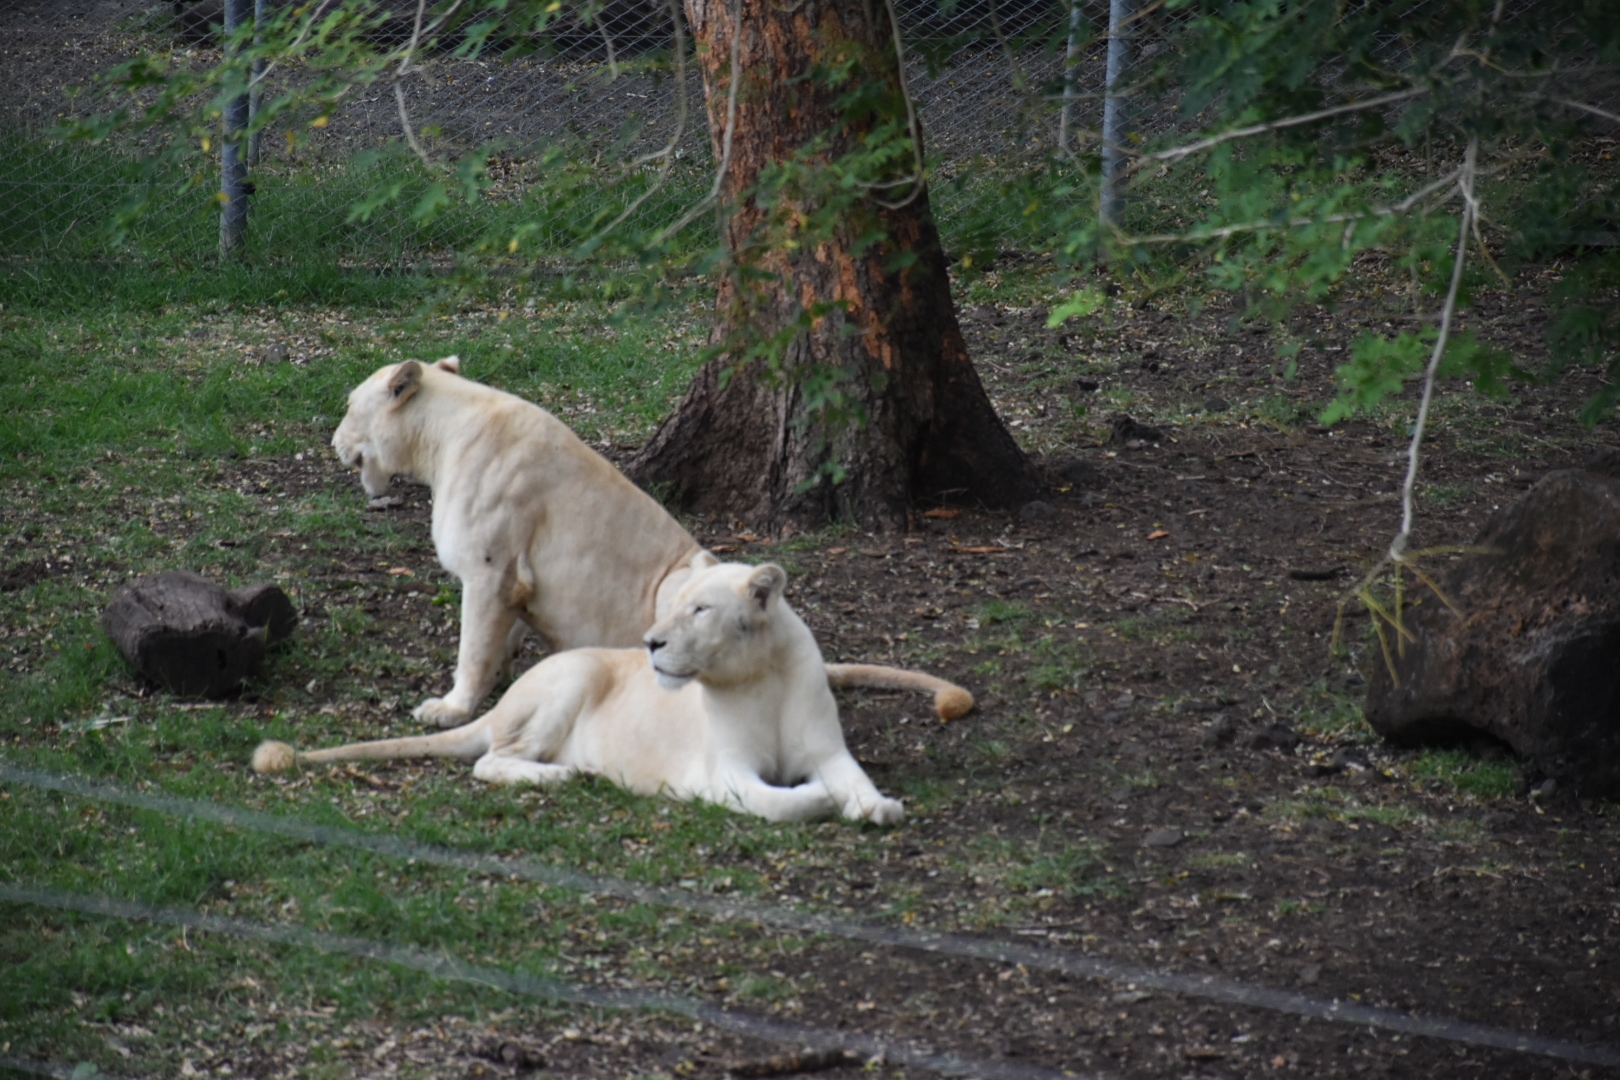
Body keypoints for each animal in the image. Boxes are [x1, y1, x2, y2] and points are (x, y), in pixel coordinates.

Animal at [251, 563, 913, 822]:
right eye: (672, 605)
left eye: (699, 610)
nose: (650, 642)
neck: (762, 676)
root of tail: (500, 702)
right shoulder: (722, 774)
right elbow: (780, 802)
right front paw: (823, 799)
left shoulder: (828, 748)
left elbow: (856, 779)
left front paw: (876, 806)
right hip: (569, 678)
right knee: (491, 761)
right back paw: (567, 774)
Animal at [325, 359, 959, 731]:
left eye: (348, 405)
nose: (332, 441)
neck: (438, 440)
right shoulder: (512, 585)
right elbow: (501, 639)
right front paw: (503, 680)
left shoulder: (490, 570)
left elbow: (473, 645)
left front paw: (451, 708)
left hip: (683, 582)